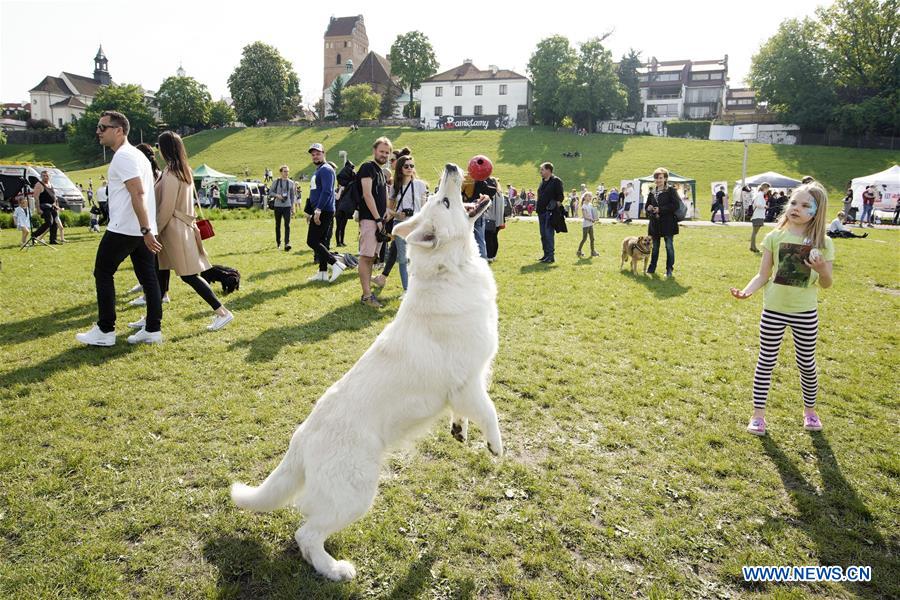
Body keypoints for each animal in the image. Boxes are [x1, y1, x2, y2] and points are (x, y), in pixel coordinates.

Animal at [229, 163, 502, 580]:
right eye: (445, 200)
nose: (452, 168)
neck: (449, 270)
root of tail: (301, 439)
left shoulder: (463, 390)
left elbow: (466, 415)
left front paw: (460, 431)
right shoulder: (469, 383)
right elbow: (491, 412)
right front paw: (495, 445)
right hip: (355, 495)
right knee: (306, 534)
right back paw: (335, 571)